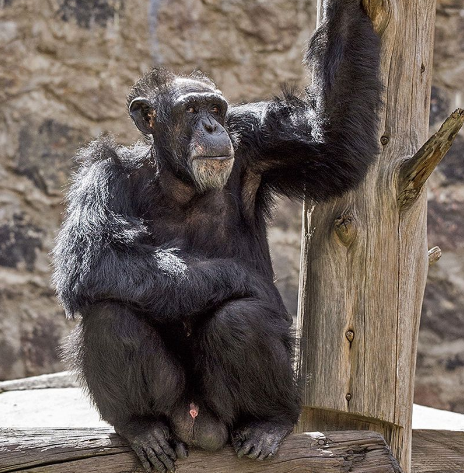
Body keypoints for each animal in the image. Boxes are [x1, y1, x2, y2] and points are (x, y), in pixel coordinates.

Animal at [53, 1, 380, 470]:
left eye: (216, 108)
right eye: (192, 110)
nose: (211, 126)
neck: (179, 181)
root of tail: (200, 426)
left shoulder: (259, 142)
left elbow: (334, 145)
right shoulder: (101, 176)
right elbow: (92, 257)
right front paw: (250, 280)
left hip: (237, 408)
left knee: (239, 322)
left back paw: (267, 423)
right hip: (175, 406)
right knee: (109, 314)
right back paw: (143, 427)